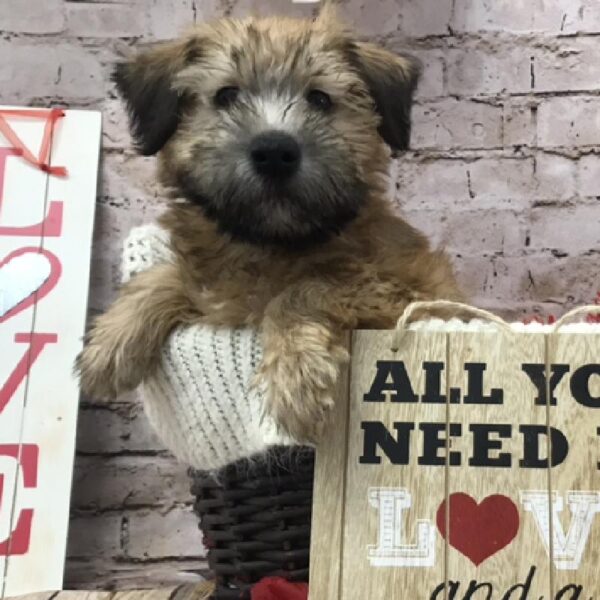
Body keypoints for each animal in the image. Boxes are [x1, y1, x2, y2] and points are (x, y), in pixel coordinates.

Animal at [77, 7, 462, 442]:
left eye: (320, 98)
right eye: (226, 95)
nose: (275, 152)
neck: (270, 242)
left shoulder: (406, 291)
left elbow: (310, 287)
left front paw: (297, 378)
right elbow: (170, 277)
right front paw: (110, 342)